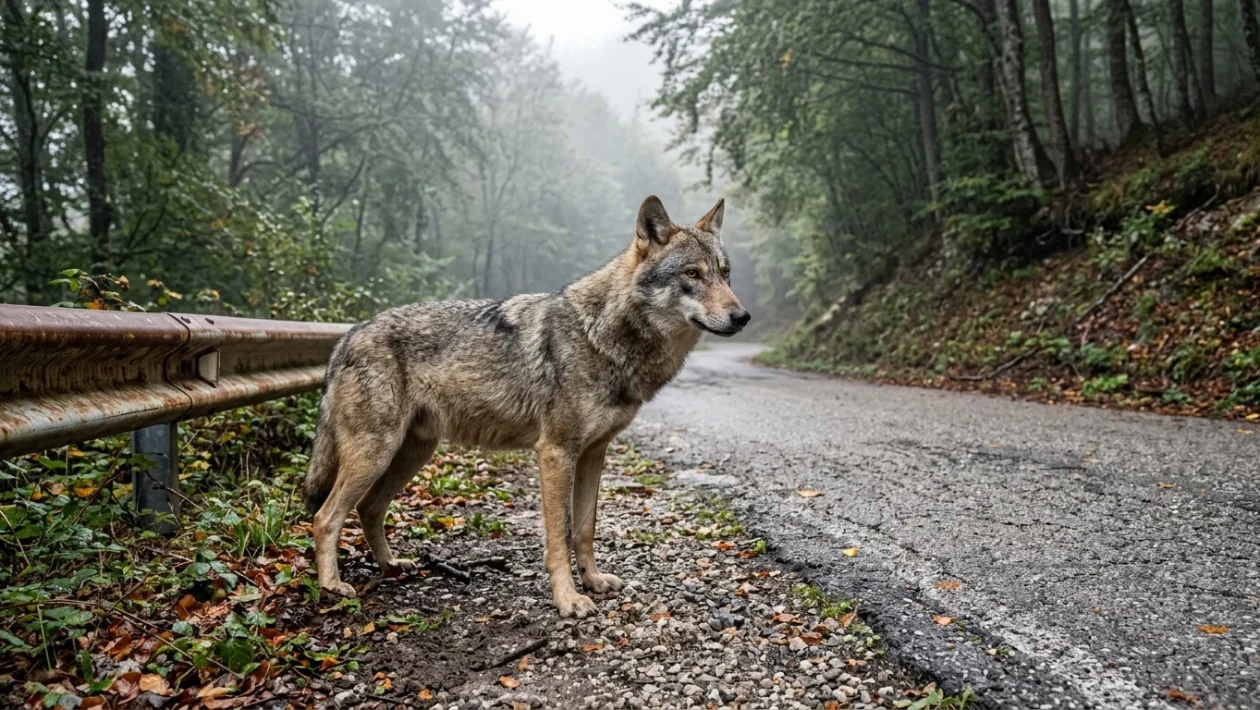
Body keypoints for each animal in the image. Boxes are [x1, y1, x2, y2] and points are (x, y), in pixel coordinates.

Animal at [301, 195, 749, 617]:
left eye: (726, 273)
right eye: (692, 274)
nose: (742, 316)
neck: (602, 336)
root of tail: (346, 337)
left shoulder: (594, 453)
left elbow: (585, 529)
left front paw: (593, 581)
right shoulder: (555, 453)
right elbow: (560, 536)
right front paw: (568, 599)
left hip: (410, 455)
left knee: (369, 509)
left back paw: (391, 565)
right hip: (375, 455)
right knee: (325, 518)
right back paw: (332, 586)